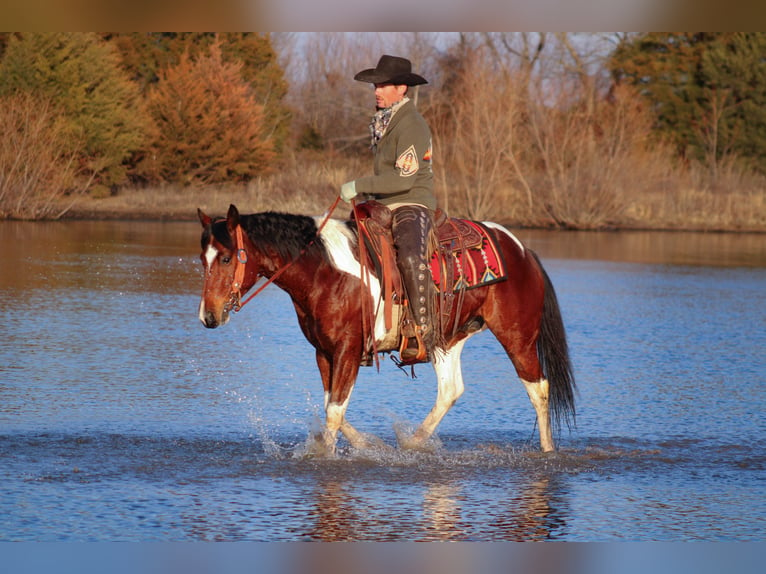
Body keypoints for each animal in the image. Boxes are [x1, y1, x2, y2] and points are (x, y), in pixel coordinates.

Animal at [198, 205, 576, 456]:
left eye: (227, 258)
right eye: (203, 259)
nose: (209, 317)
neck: (326, 272)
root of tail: (523, 251)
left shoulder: (348, 350)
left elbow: (334, 411)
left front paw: (326, 457)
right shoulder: (324, 352)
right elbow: (331, 406)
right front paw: (366, 444)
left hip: (517, 336)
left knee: (538, 388)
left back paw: (547, 450)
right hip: (447, 338)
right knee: (450, 389)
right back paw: (413, 443)